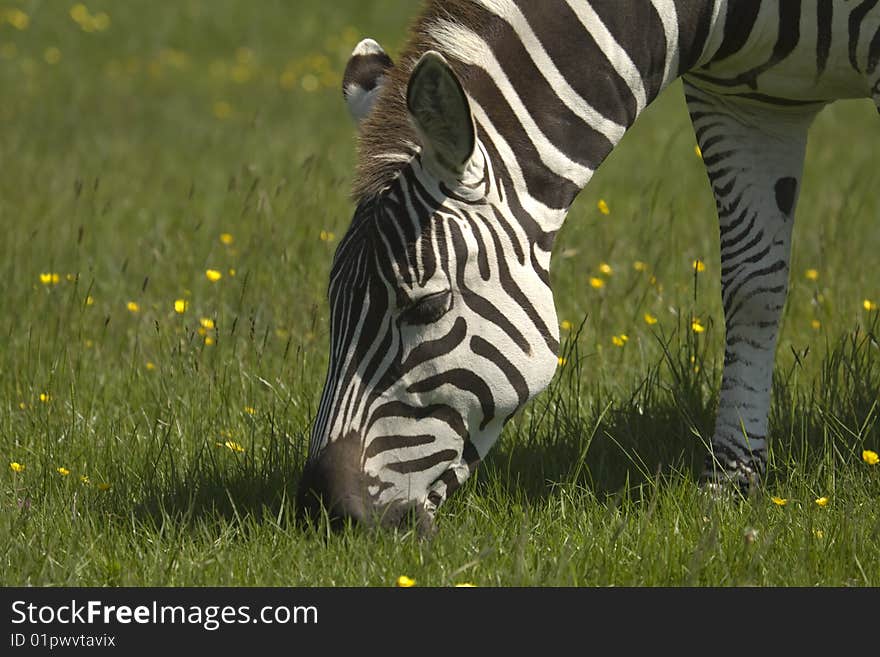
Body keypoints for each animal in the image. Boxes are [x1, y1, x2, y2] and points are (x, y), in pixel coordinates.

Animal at [298, 0, 880, 532]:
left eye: (429, 305)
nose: (323, 510)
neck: (716, 14)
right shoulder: (746, 104)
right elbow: (752, 286)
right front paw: (732, 481)